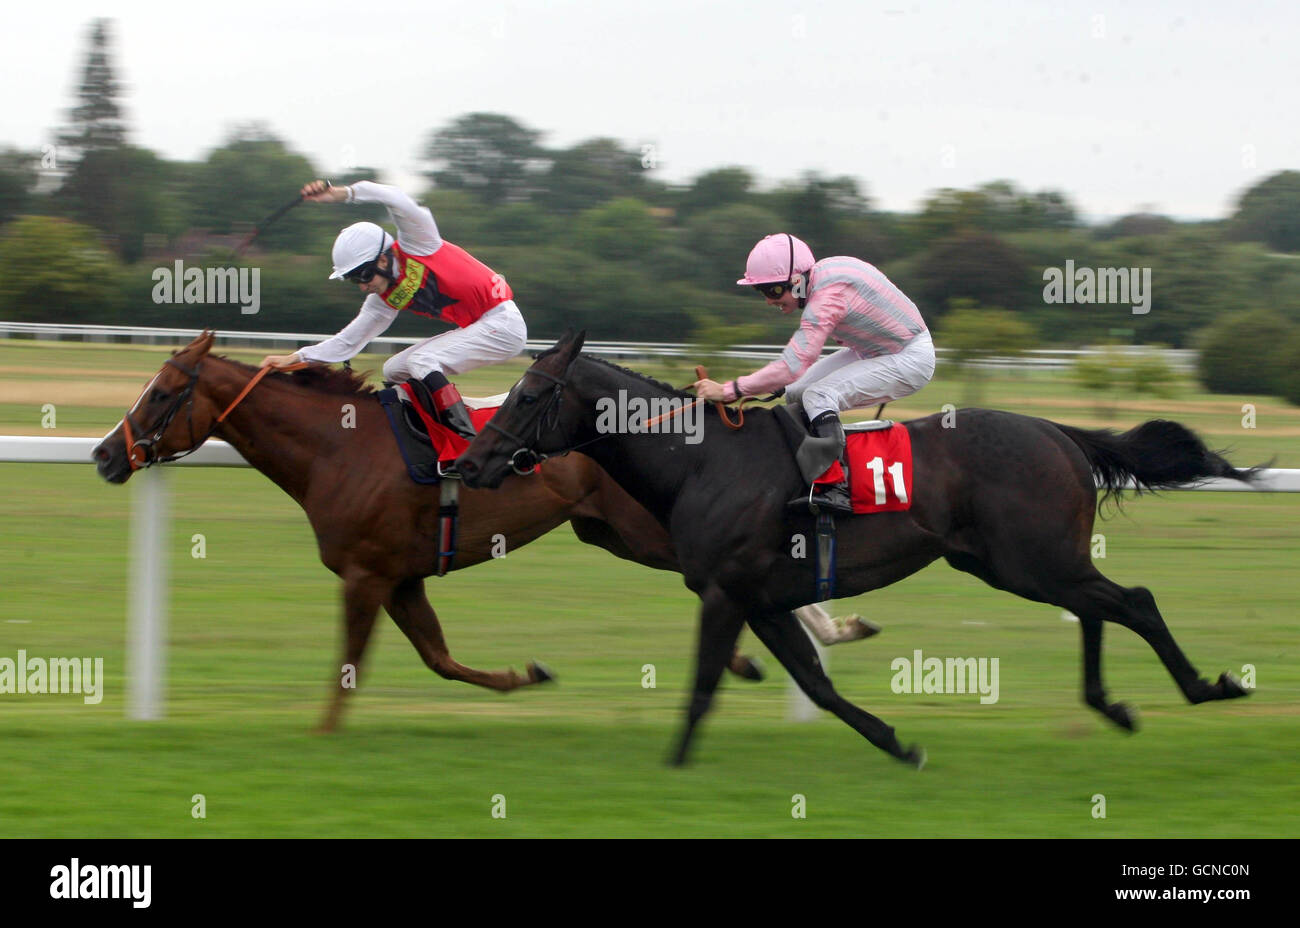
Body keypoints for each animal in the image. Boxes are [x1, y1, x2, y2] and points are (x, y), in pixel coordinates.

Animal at [457, 332, 1258, 764]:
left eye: (528, 395)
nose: (469, 461)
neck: (703, 460)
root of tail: (1061, 433)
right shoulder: (763, 599)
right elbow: (817, 684)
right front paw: (898, 743)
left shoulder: (725, 591)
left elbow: (704, 686)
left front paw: (673, 765)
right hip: (1023, 563)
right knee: (1100, 606)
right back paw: (1111, 705)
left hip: (1030, 561)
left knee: (1134, 601)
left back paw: (1208, 687)